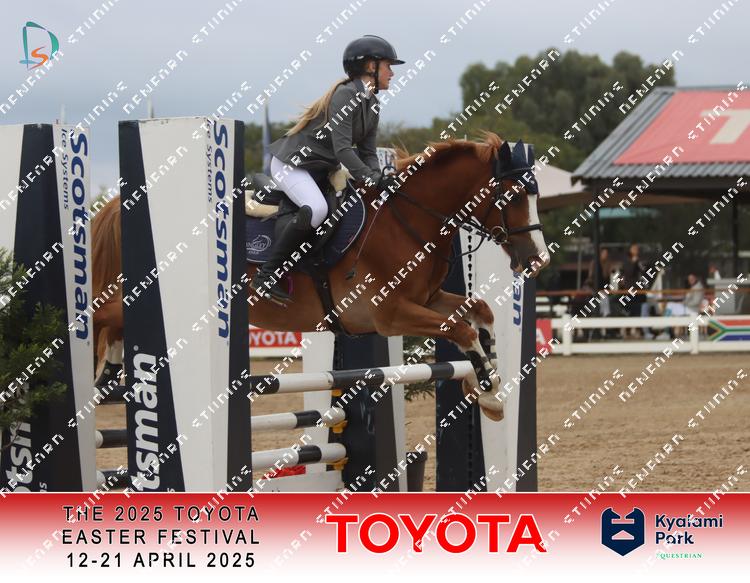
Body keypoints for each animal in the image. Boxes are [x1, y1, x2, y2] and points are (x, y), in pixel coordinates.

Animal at [92, 132, 549, 421]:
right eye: (512, 196)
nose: (538, 260)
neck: (407, 219)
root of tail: (119, 205)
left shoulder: (426, 299)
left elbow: (479, 313)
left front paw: (488, 389)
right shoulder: (389, 314)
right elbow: (462, 330)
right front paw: (488, 389)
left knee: (110, 324)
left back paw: (108, 372)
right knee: (95, 316)